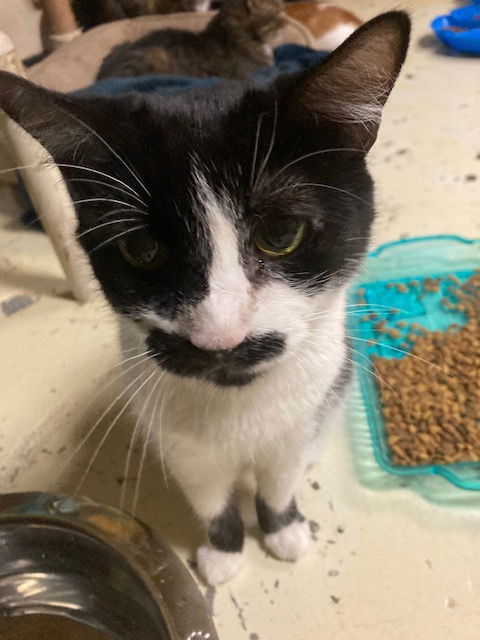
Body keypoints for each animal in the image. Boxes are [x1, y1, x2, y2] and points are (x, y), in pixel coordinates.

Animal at [0, 12, 408, 588]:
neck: (239, 407)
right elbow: (210, 496)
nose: (221, 339)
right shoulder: (182, 446)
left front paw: (283, 529)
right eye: (141, 249)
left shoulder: (298, 417)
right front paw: (224, 551)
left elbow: (279, 479)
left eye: (281, 234)